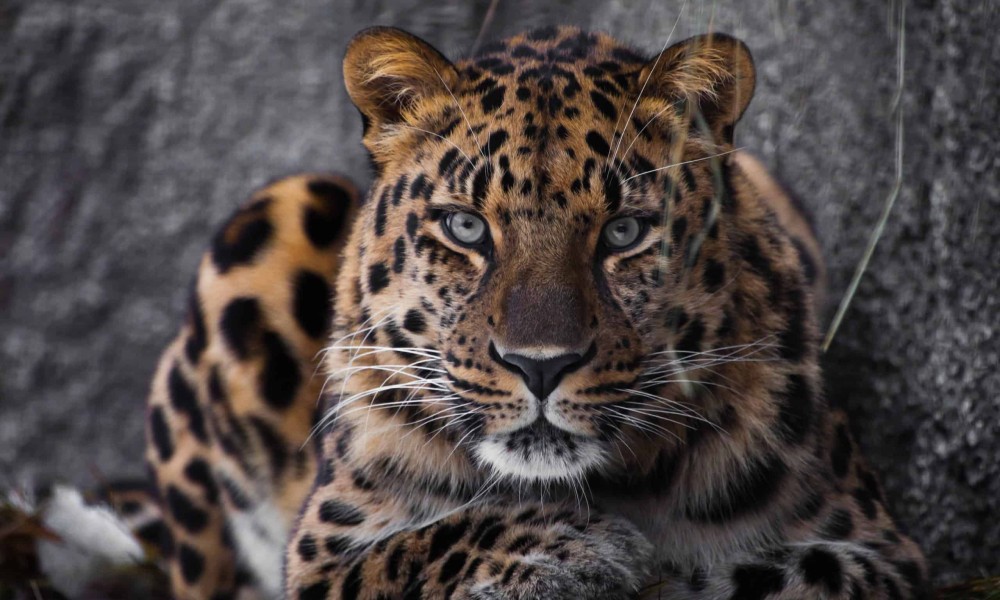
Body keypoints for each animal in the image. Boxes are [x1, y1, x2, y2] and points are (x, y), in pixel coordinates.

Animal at [143, 25, 928, 600]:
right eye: (466, 228)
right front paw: (566, 552)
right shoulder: (320, 558)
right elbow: (419, 544)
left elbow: (782, 572)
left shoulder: (882, 551)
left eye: (623, 233)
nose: (540, 367)